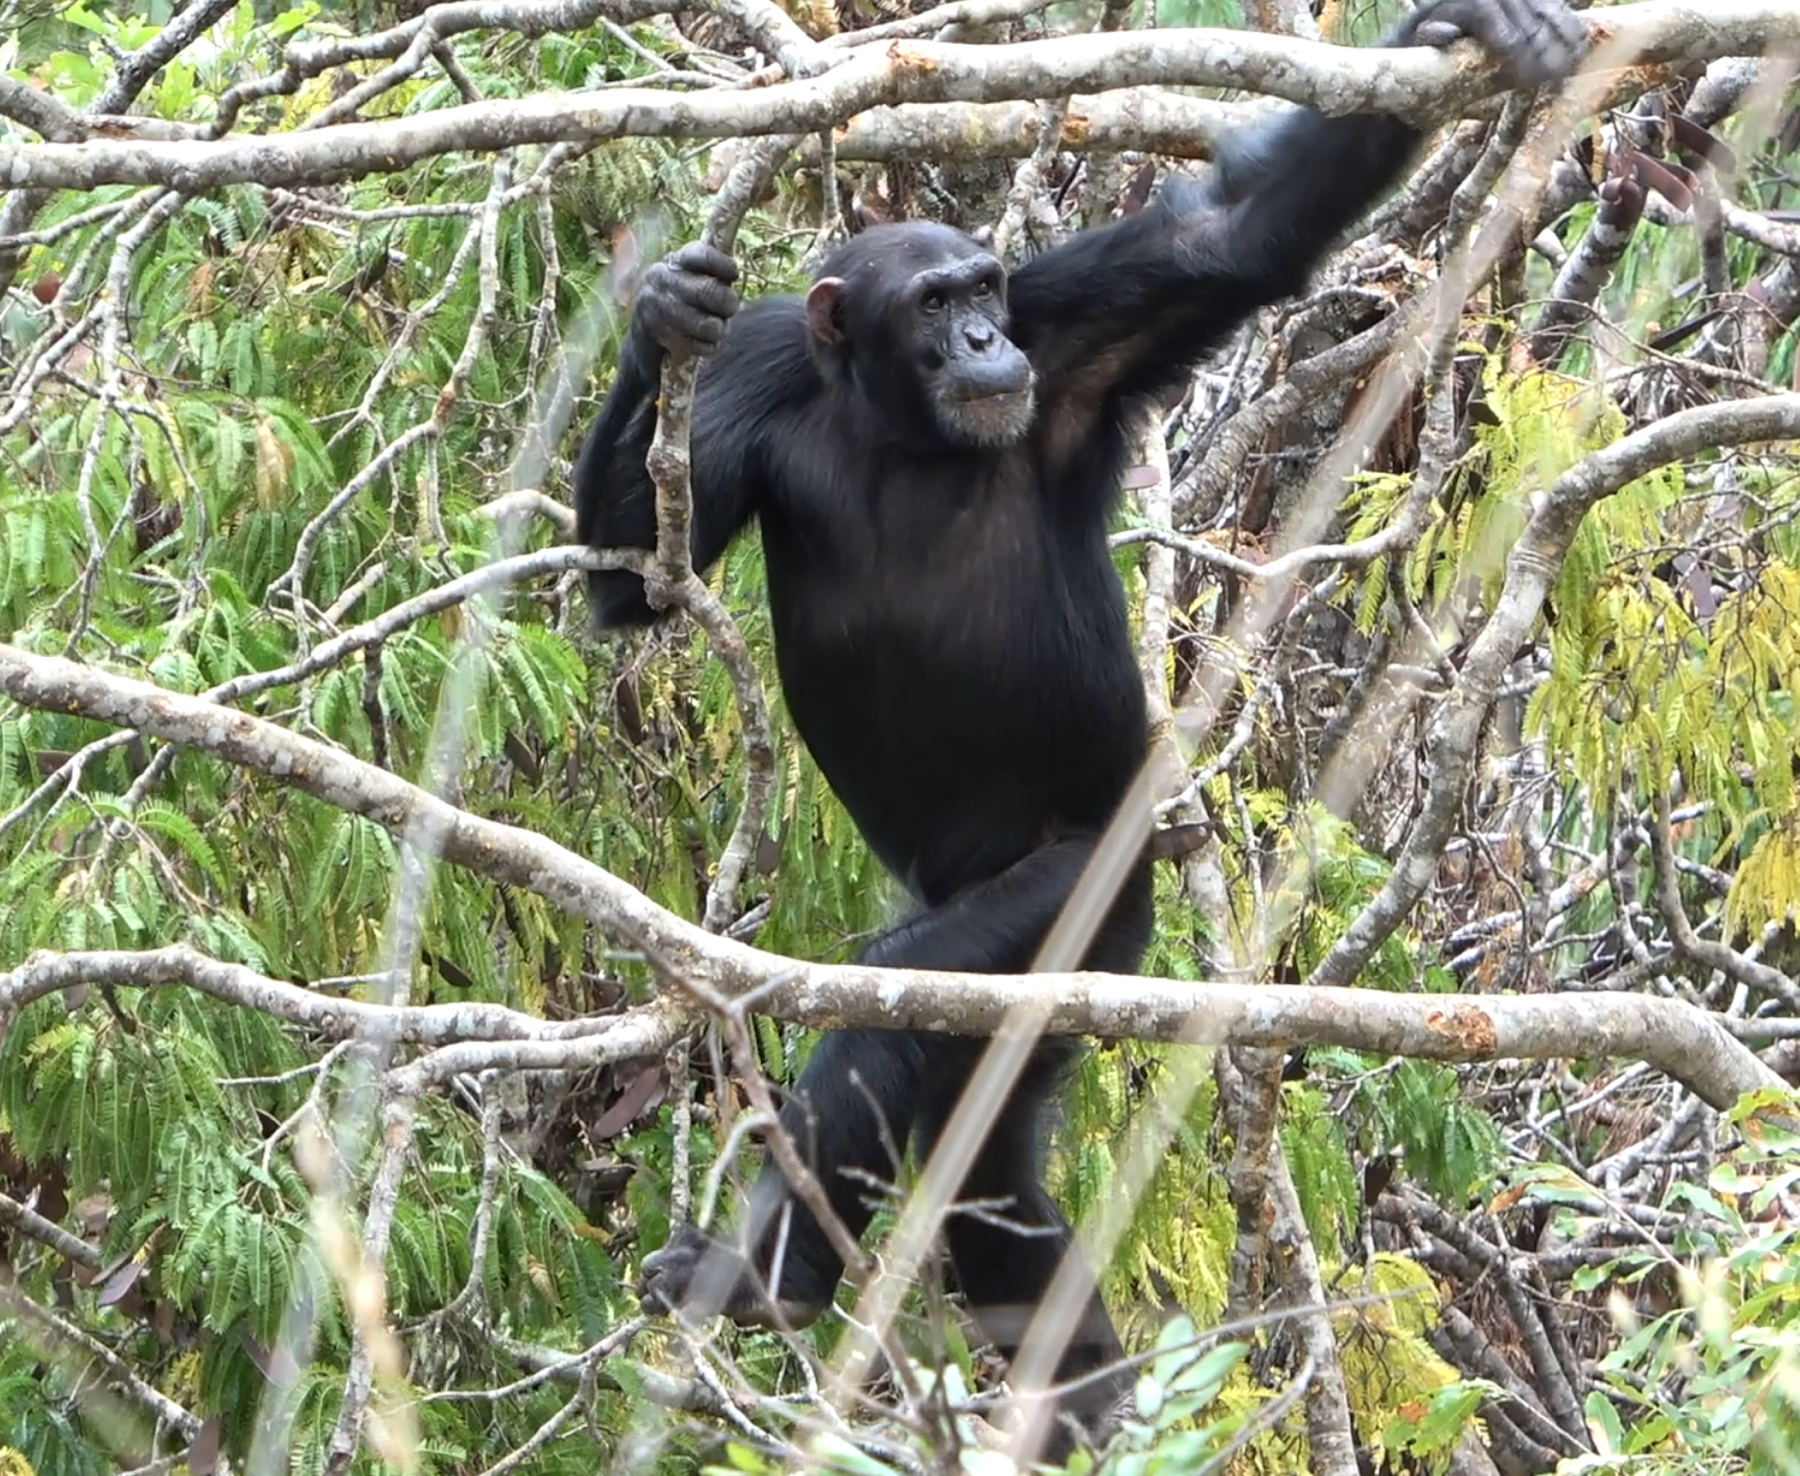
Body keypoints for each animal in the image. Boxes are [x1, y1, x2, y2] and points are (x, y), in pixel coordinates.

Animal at [572, 0, 1576, 1454]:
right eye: (933, 303)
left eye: (985, 292)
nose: (986, 346)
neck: (890, 416)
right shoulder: (764, 361)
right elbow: (636, 584)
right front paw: (660, 312)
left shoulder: (1077, 326)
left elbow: (1228, 240)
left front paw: (1466, 33)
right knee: (983, 1169)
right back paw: (1075, 1401)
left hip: (1086, 903)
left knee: (905, 1002)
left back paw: (776, 1281)